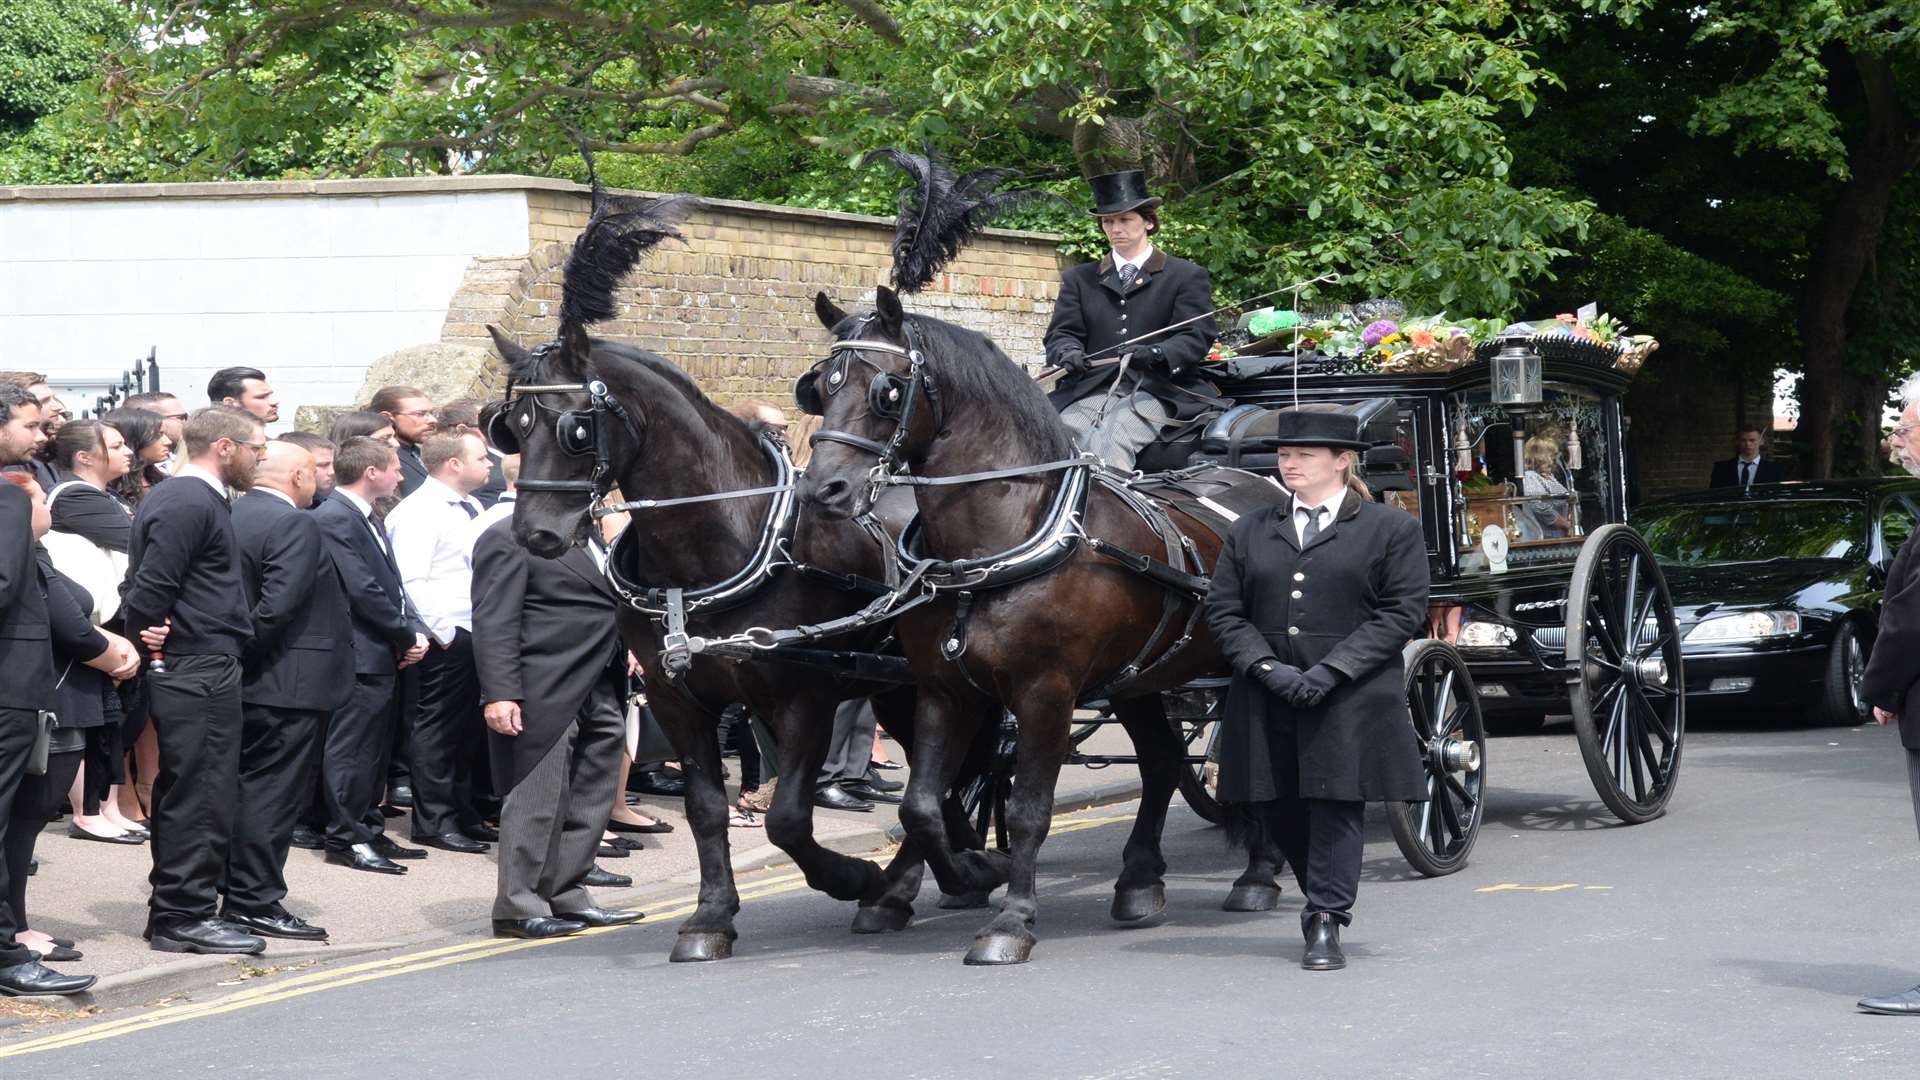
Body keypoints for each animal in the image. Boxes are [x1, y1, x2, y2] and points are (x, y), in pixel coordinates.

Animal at [487, 187, 983, 957]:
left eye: (575, 427)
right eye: (512, 427)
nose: (535, 532)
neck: (718, 545)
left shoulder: (803, 695)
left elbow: (786, 818)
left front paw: (854, 876)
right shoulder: (676, 697)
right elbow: (706, 810)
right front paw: (711, 917)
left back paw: (928, 875)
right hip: (905, 686)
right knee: (944, 779)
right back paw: (933, 873)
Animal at [794, 282, 1290, 960]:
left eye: (887, 391)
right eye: (819, 386)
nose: (822, 490)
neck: (1005, 537)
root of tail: (1259, 480)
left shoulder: (1045, 691)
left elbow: (1029, 807)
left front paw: (1011, 919)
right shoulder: (944, 689)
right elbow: (921, 804)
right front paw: (964, 874)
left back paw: (1259, 875)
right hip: (1139, 679)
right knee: (1163, 763)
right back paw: (1139, 882)